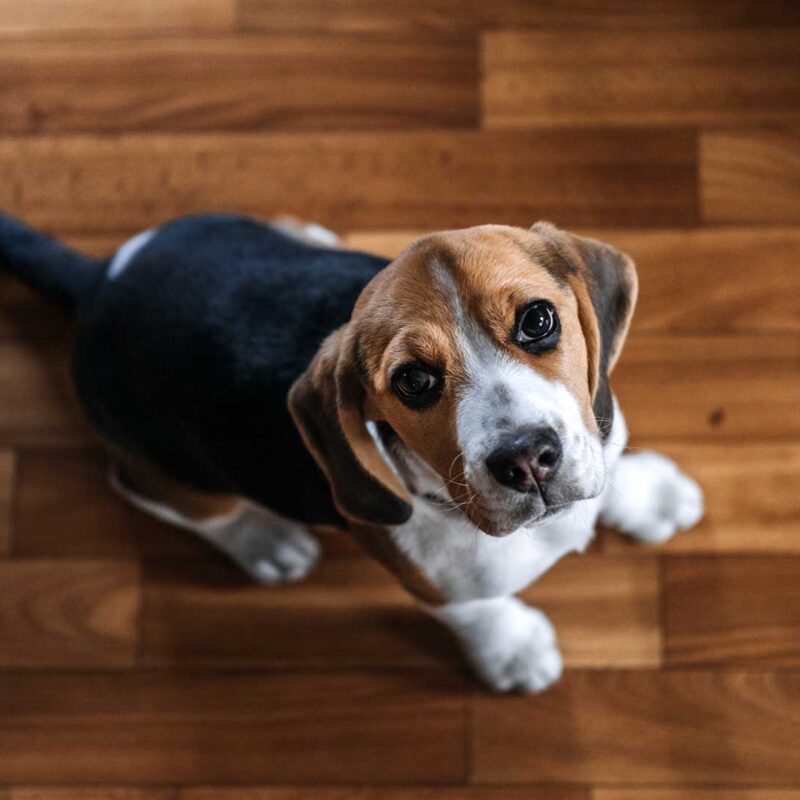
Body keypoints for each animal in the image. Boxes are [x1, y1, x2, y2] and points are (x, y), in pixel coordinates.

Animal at [0, 212, 700, 692]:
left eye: (537, 321)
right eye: (413, 381)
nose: (526, 459)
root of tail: (96, 280)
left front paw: (645, 493)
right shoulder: (441, 585)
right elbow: (479, 613)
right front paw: (514, 651)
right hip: (174, 471)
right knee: (158, 494)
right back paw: (264, 541)